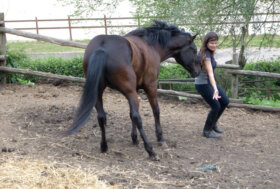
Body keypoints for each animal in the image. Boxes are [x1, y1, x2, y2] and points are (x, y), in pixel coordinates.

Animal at [62, 20, 200, 159]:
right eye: (194, 50)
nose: (197, 71)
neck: (151, 45)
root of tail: (102, 48)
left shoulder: (134, 89)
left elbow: (130, 113)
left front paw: (134, 138)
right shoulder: (150, 86)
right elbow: (155, 110)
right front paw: (160, 137)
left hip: (100, 93)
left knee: (102, 117)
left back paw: (104, 146)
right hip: (130, 92)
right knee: (137, 117)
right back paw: (150, 150)